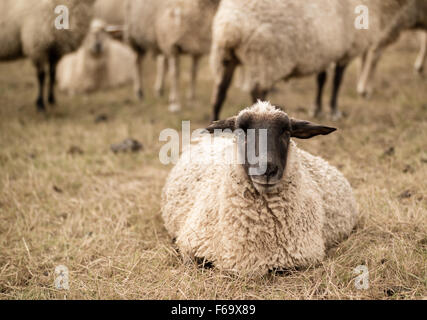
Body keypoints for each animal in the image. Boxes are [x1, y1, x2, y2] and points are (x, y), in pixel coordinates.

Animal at [211, 0, 418, 121]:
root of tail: (232, 28)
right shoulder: (346, 49)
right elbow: (337, 80)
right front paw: (334, 111)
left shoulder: (322, 51)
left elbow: (322, 79)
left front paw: (317, 110)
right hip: (266, 58)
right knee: (257, 91)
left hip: (225, 57)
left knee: (220, 91)